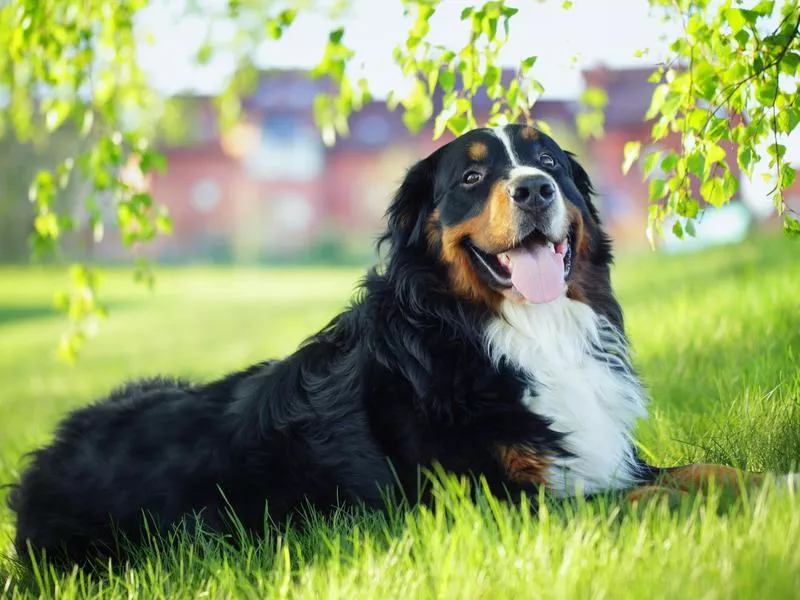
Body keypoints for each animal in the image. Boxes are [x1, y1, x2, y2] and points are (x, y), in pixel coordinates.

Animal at [7, 124, 792, 564]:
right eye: (472, 175)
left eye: (549, 163)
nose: (535, 189)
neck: (513, 333)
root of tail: (37, 467)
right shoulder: (495, 504)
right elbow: (645, 501)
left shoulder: (603, 454)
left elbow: (706, 472)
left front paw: (776, 483)